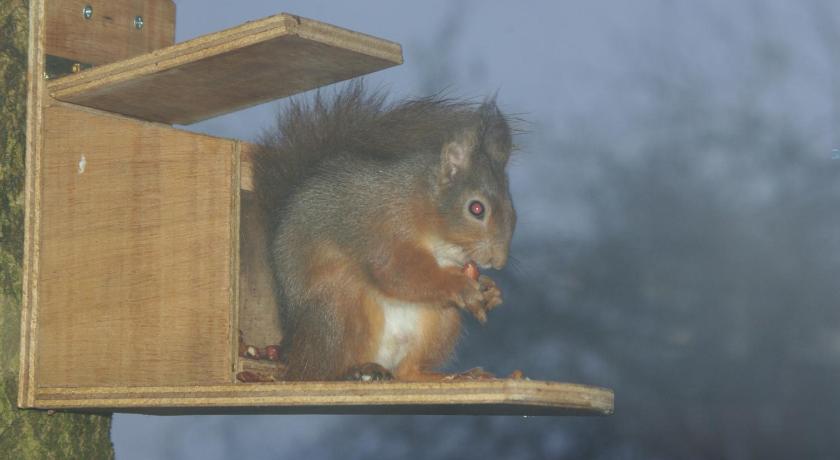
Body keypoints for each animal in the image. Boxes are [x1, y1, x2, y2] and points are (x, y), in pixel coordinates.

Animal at [253, 83, 516, 380]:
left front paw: (491, 290)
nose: (498, 260)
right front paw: (461, 285)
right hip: (339, 306)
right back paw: (354, 370)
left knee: (407, 371)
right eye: (476, 209)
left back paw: (453, 375)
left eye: (512, 207)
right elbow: (397, 272)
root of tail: (294, 350)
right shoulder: (383, 226)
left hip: (441, 319)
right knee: (321, 371)